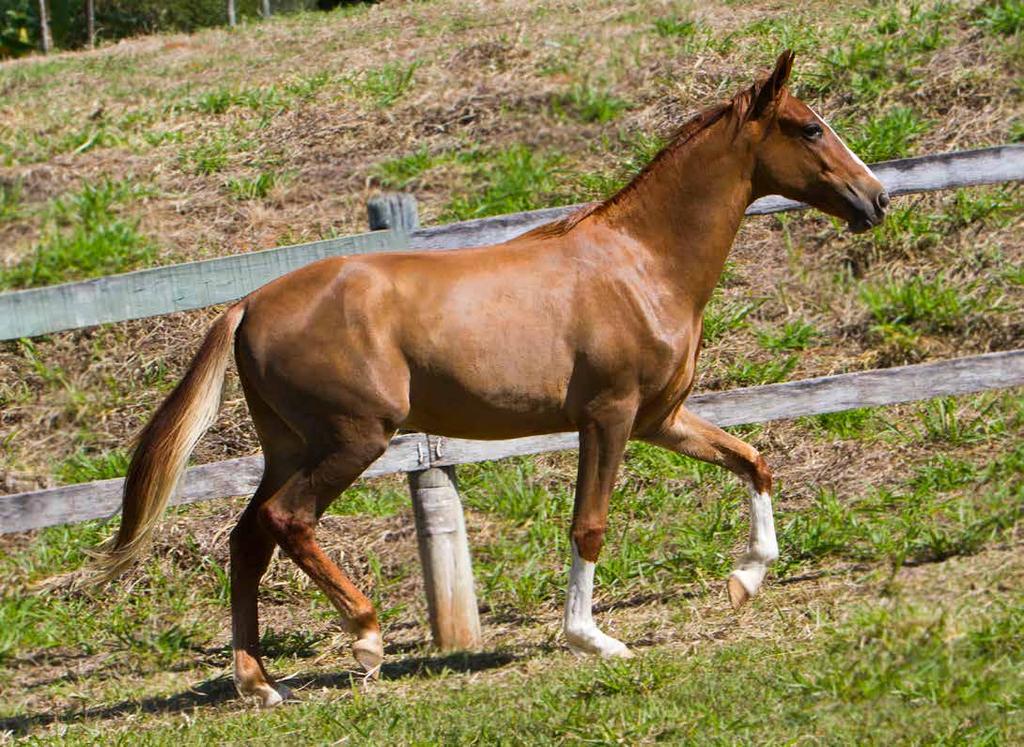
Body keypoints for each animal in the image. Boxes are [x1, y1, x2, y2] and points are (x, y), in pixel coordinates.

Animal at [92, 52, 884, 704]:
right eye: (809, 128)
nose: (875, 199)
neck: (641, 265)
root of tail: (249, 303)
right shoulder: (609, 415)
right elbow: (590, 524)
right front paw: (592, 640)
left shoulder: (660, 418)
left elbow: (753, 460)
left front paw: (745, 581)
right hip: (353, 439)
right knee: (288, 521)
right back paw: (366, 637)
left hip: (290, 445)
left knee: (247, 538)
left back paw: (260, 683)